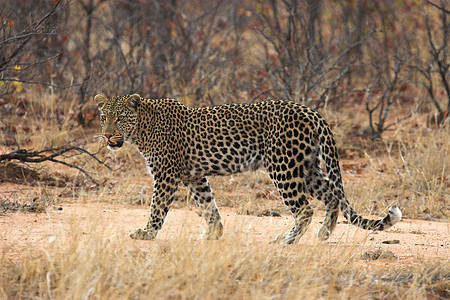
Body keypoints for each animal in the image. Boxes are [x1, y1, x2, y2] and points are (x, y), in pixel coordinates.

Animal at [94, 94, 400, 244]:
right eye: (103, 117)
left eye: (119, 117)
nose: (107, 135)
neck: (141, 129)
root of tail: (312, 112)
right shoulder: (195, 176)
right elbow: (208, 206)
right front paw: (213, 234)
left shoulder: (166, 175)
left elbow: (157, 208)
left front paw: (146, 233)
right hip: (308, 167)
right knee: (332, 196)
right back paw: (324, 234)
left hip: (283, 167)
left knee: (305, 208)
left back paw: (286, 239)